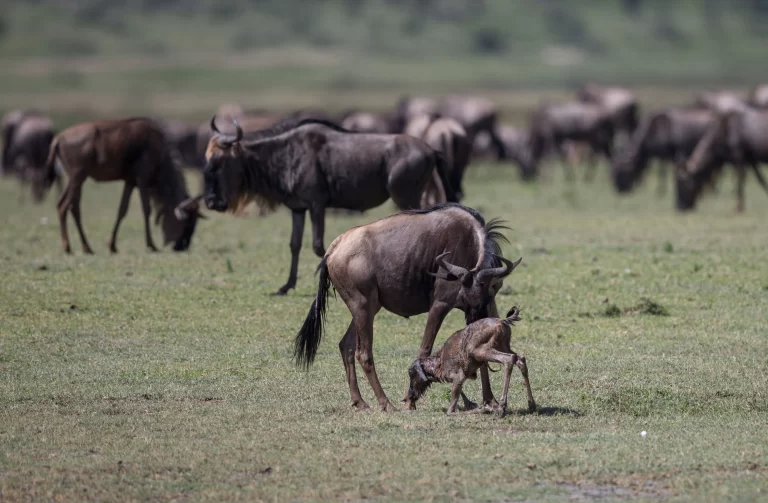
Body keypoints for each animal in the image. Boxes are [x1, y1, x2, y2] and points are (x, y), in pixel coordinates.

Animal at [404, 308, 536, 418]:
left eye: (411, 373)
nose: (410, 396)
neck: (438, 364)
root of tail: (502, 321)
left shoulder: (458, 377)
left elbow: (450, 411)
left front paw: (485, 408)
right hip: (502, 346)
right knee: (520, 359)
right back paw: (531, 405)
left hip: (481, 351)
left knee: (509, 359)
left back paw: (502, 407)